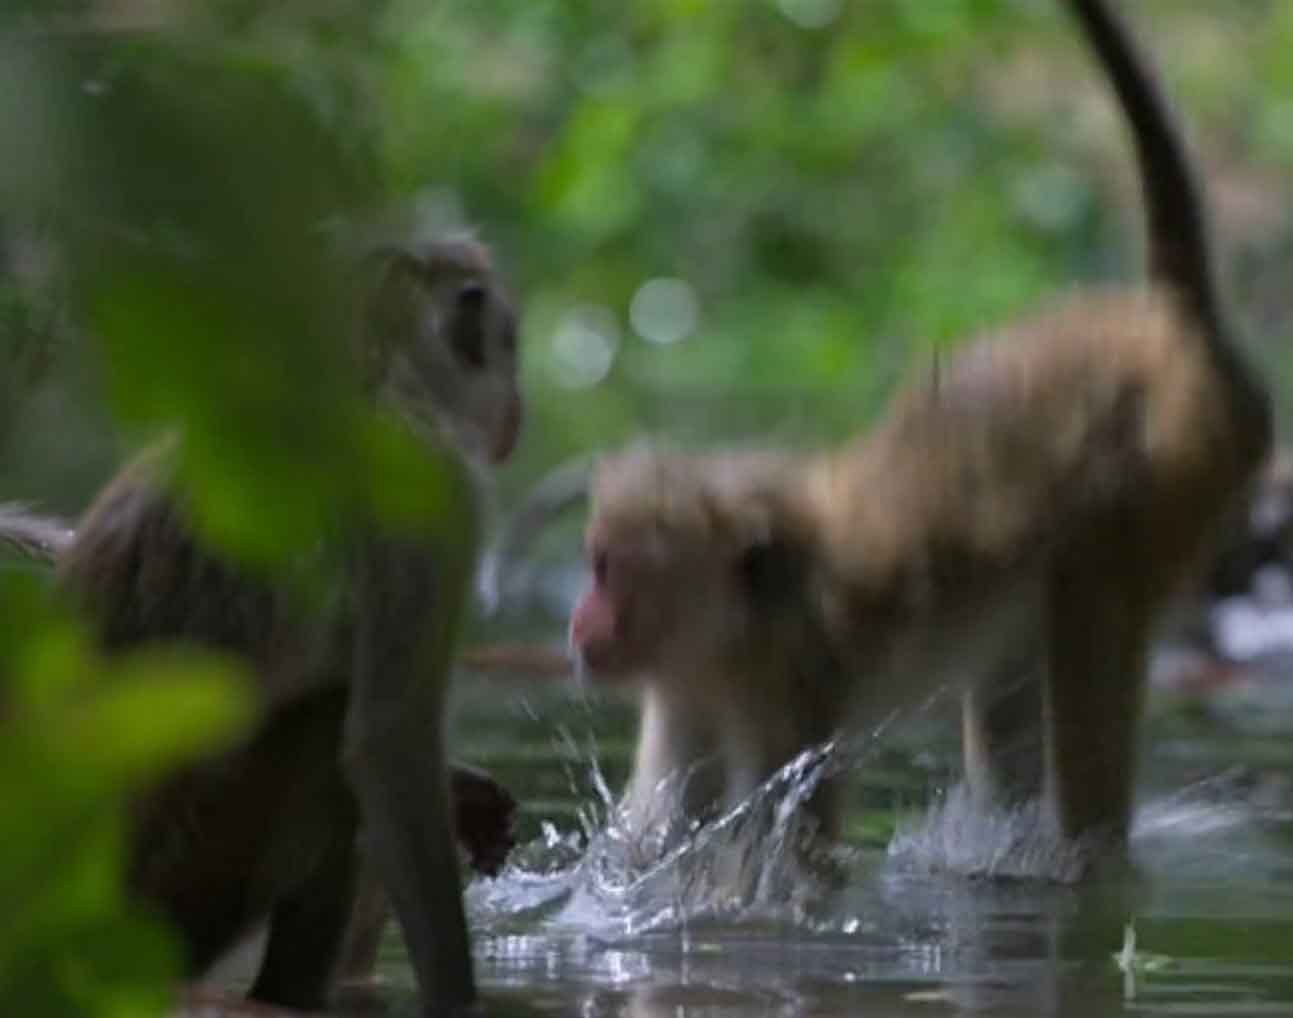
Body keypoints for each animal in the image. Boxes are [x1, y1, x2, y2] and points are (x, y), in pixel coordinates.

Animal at [6, 236, 519, 1008]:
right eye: (509, 343)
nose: (517, 412)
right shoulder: (430, 492)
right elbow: (387, 744)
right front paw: (457, 997)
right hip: (167, 894)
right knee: (328, 727)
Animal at [568, 0, 1272, 864]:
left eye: (609, 570)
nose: (581, 621)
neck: (736, 619)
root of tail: (1167, 329)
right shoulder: (684, 685)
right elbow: (658, 840)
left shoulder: (784, 681)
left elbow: (790, 860)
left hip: (1173, 474)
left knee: (1089, 636)